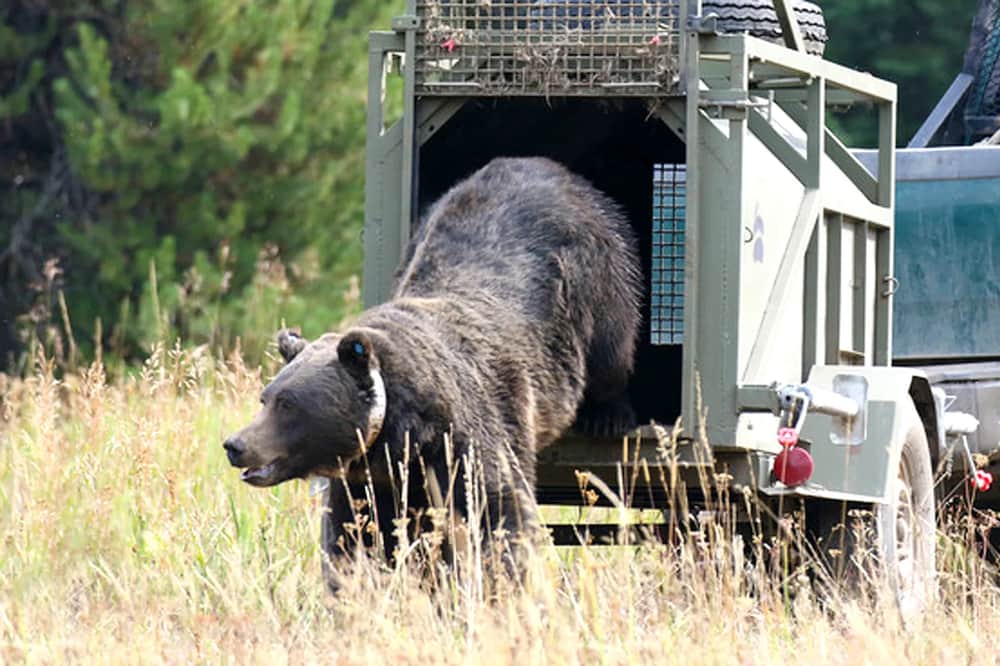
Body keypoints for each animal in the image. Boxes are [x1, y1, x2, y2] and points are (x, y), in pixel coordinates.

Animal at [223, 156, 642, 584]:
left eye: (289, 404)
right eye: (266, 398)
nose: (236, 445)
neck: (402, 434)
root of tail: (544, 164)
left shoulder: (469, 436)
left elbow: (497, 513)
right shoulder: (367, 478)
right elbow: (353, 535)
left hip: (595, 269)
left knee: (612, 345)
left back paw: (608, 415)